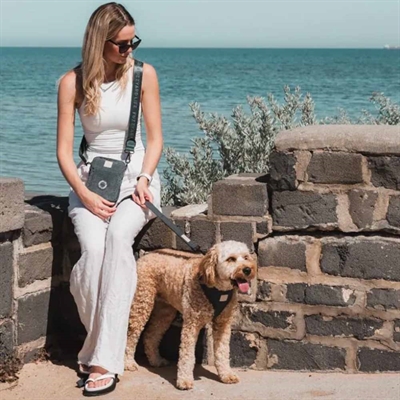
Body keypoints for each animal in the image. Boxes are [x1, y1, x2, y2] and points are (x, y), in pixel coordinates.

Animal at [124, 240, 257, 390]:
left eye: (246, 257)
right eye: (231, 259)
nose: (247, 269)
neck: (217, 289)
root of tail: (146, 255)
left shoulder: (223, 323)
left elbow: (223, 351)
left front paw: (226, 375)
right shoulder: (192, 323)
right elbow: (187, 355)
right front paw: (185, 380)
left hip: (165, 312)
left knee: (150, 336)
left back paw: (156, 360)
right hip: (142, 303)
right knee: (131, 335)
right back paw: (128, 363)